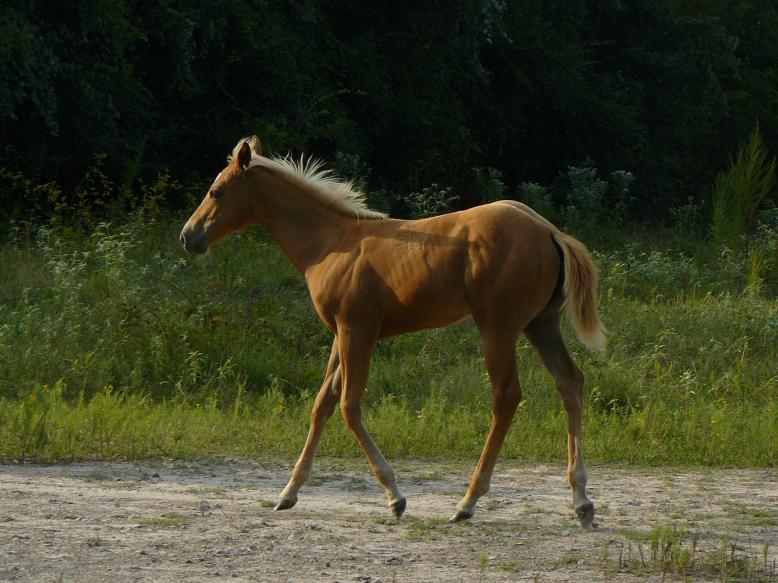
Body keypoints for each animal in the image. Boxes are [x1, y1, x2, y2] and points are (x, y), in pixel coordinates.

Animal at [180, 136, 606, 528]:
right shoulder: (340, 334)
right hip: (541, 324)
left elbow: (349, 406)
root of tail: (550, 231)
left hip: (498, 327)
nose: (188, 236)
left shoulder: (358, 331)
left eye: (216, 191)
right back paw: (581, 501)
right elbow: (322, 405)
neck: (330, 244)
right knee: (570, 382)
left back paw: (468, 501)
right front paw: (288, 493)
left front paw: (394, 496)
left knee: (507, 396)